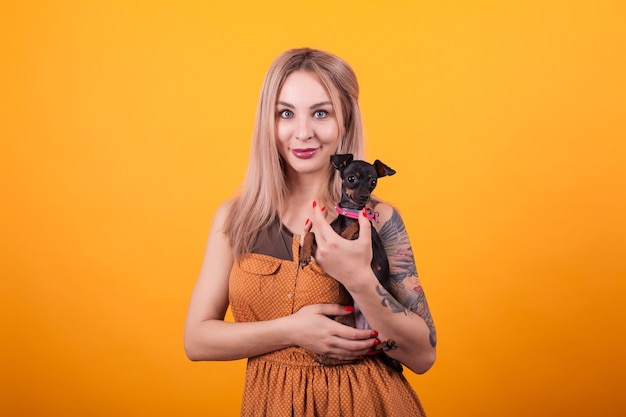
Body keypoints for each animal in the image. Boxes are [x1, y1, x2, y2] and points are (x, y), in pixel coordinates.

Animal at [298, 153, 400, 370]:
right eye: (351, 178)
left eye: (373, 182)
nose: (364, 197)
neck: (350, 213)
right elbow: (312, 233)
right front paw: (303, 254)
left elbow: (356, 225)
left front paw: (359, 221)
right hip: (344, 320)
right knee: (357, 353)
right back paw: (330, 358)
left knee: (364, 351)